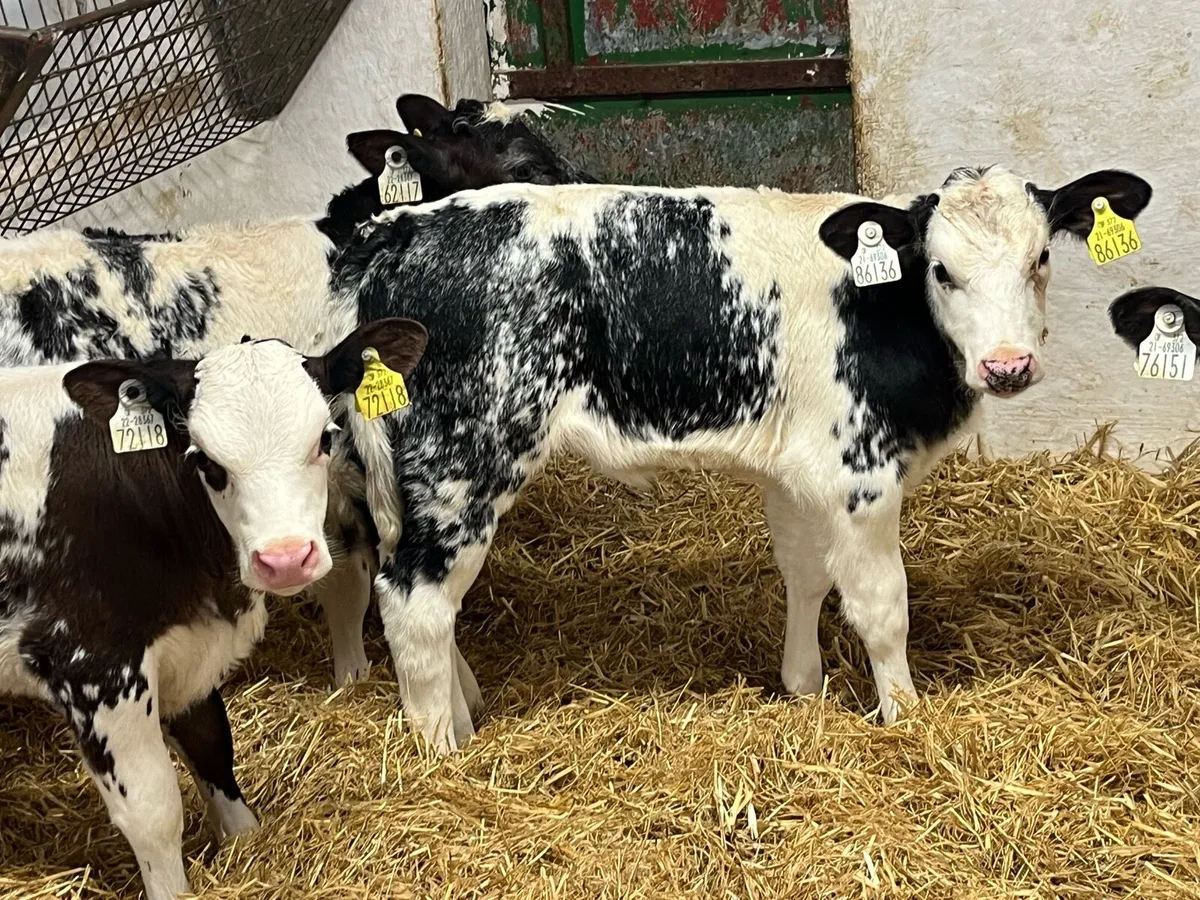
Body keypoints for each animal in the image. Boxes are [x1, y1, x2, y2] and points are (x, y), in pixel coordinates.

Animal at [0, 318, 426, 900]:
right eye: (204, 460)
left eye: (324, 437)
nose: (285, 558)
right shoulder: (92, 663)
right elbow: (153, 811)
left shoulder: (188, 649)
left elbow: (211, 743)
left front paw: (246, 841)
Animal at [328, 165, 1153, 753]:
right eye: (942, 271)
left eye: (1041, 258)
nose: (1008, 365)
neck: (883, 311)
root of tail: (394, 231)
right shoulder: (862, 475)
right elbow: (882, 608)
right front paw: (905, 715)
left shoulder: (798, 472)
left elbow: (805, 575)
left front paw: (803, 686)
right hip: (464, 461)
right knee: (414, 599)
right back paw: (442, 752)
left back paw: (464, 711)